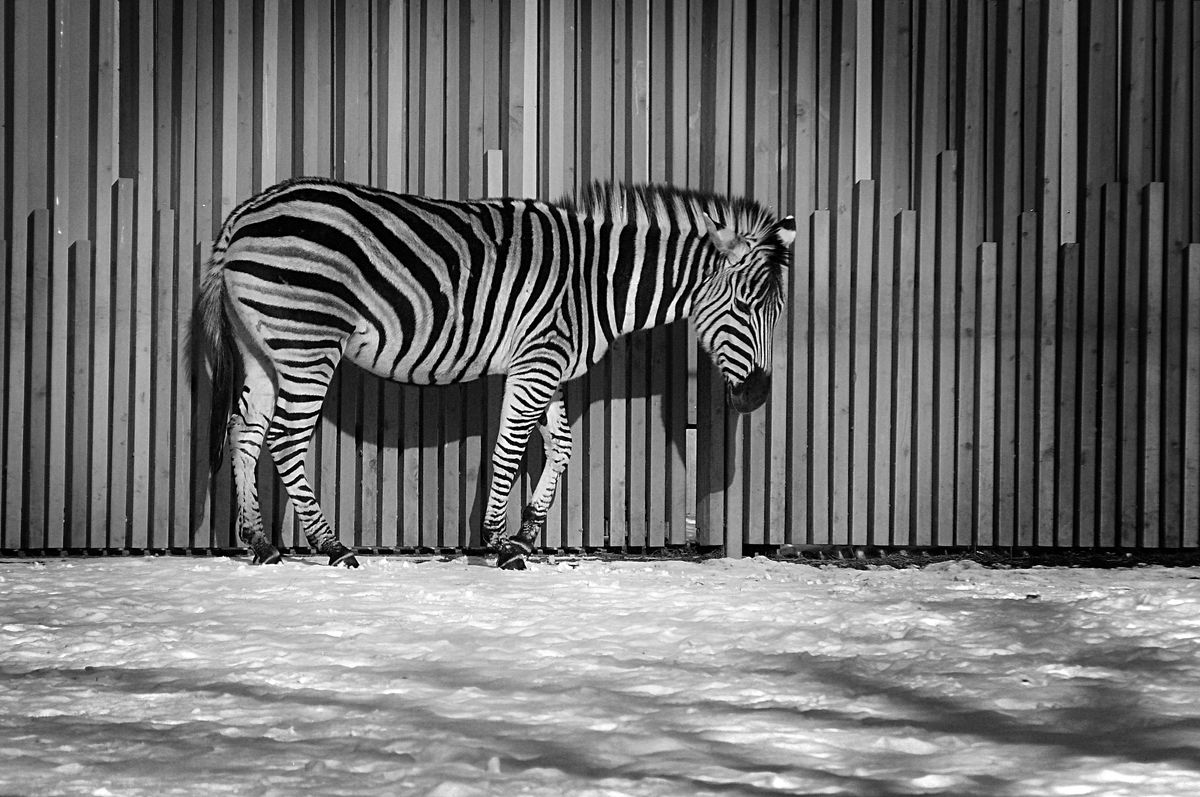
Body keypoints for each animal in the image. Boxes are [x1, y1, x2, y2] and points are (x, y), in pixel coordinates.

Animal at [194, 177, 796, 568]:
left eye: (778, 312)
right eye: (744, 306)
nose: (758, 398)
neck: (596, 281)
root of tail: (242, 215)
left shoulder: (548, 364)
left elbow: (561, 448)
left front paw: (527, 532)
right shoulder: (539, 359)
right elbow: (510, 449)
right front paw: (500, 544)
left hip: (262, 346)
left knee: (245, 433)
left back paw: (259, 543)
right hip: (307, 340)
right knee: (285, 439)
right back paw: (332, 547)